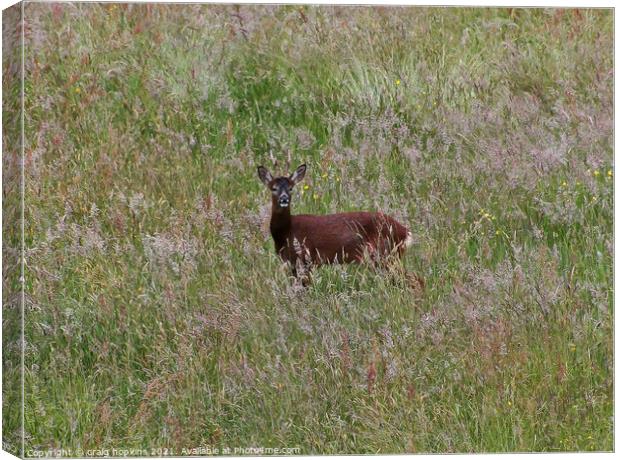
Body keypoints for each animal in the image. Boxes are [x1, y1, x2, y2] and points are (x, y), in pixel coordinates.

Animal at [254, 162, 418, 284]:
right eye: (273, 188)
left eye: (290, 188)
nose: (284, 199)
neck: (287, 232)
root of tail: (405, 232)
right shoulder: (291, 263)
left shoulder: (306, 258)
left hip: (385, 254)